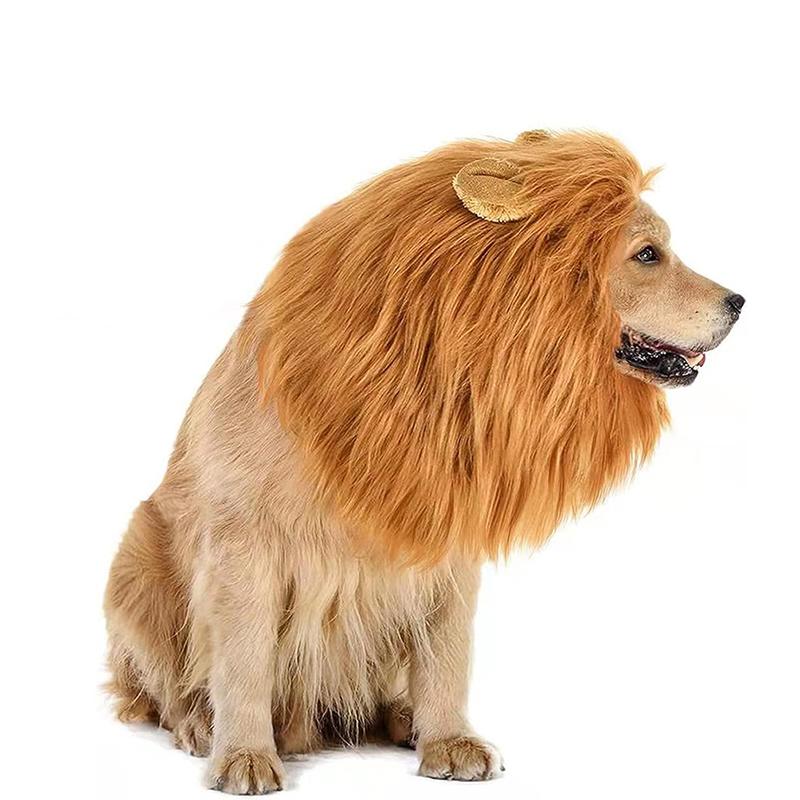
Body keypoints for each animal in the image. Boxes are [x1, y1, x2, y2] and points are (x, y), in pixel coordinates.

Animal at [104, 130, 744, 793]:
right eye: (647, 254)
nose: (740, 301)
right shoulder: (245, 543)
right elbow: (244, 660)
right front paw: (245, 755)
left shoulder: (445, 538)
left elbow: (447, 656)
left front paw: (449, 741)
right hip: (138, 557)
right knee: (163, 689)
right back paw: (200, 725)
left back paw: (404, 718)